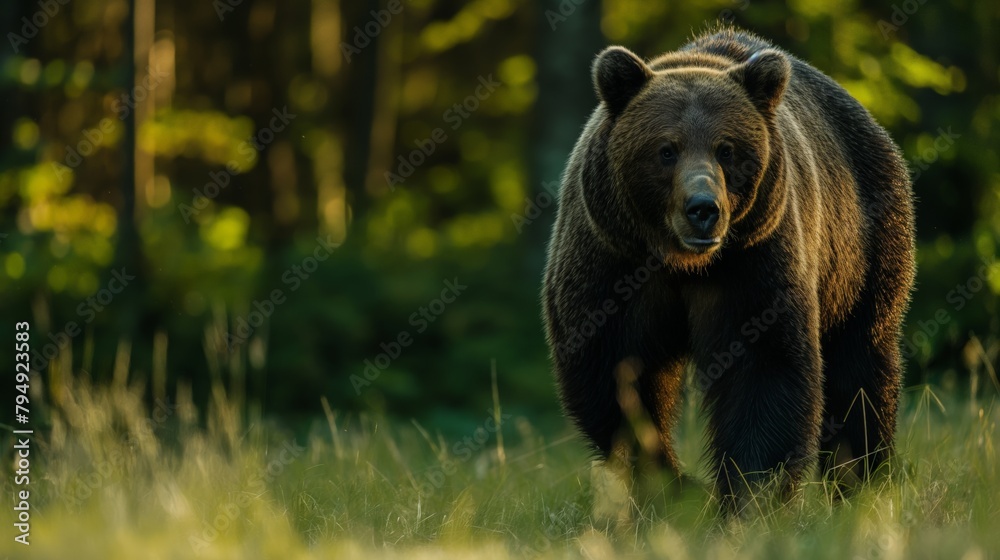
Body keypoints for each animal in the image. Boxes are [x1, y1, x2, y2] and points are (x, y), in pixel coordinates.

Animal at [542, 27, 915, 514]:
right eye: (666, 149)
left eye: (727, 149)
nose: (703, 209)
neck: (682, 263)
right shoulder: (611, 259)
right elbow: (615, 371)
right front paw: (671, 486)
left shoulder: (754, 262)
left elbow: (763, 369)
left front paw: (749, 494)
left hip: (865, 244)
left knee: (861, 363)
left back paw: (860, 481)